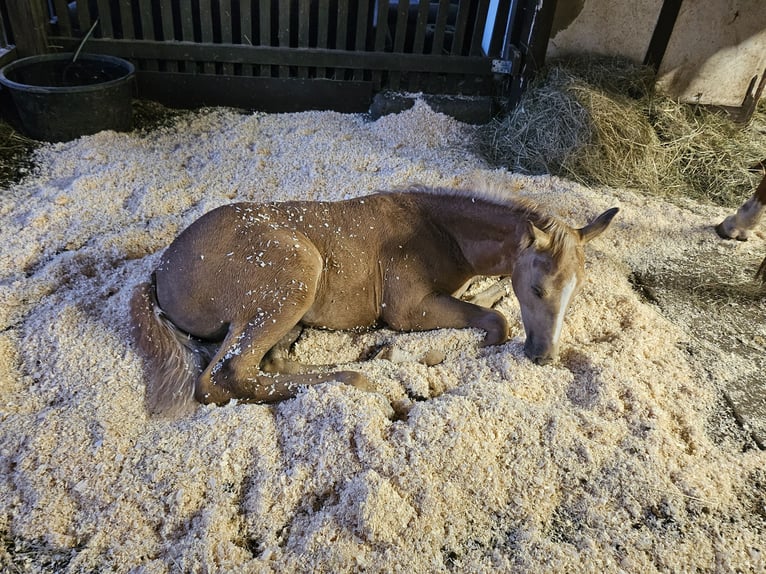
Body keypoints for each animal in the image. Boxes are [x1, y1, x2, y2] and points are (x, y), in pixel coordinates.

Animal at [132, 187, 620, 416]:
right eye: (537, 288)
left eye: (578, 289)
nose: (545, 355)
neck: (440, 231)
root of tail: (161, 269)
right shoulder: (407, 309)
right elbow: (495, 323)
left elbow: (486, 301)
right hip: (294, 277)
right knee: (224, 377)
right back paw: (363, 379)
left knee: (269, 363)